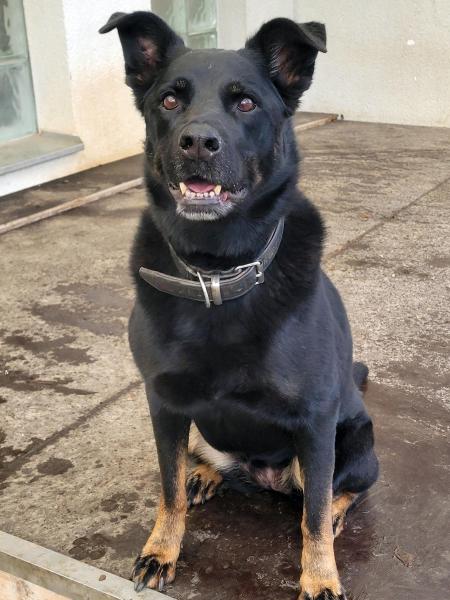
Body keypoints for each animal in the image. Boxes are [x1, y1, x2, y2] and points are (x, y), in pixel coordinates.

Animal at [100, 11, 379, 599]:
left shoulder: (316, 422)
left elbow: (313, 513)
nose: (196, 142)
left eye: (246, 103)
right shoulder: (164, 403)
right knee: (202, 464)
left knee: (334, 493)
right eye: (170, 100)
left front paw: (320, 577)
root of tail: (263, 475)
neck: (217, 273)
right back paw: (206, 475)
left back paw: (335, 514)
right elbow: (168, 489)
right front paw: (162, 549)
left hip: (356, 442)